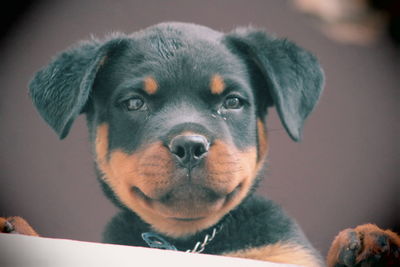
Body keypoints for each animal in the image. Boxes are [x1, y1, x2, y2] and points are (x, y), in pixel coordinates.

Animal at [1, 23, 398, 267]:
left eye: (233, 102)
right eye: (134, 103)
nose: (189, 146)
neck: (188, 242)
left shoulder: (285, 253)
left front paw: (366, 244)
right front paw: (17, 230)